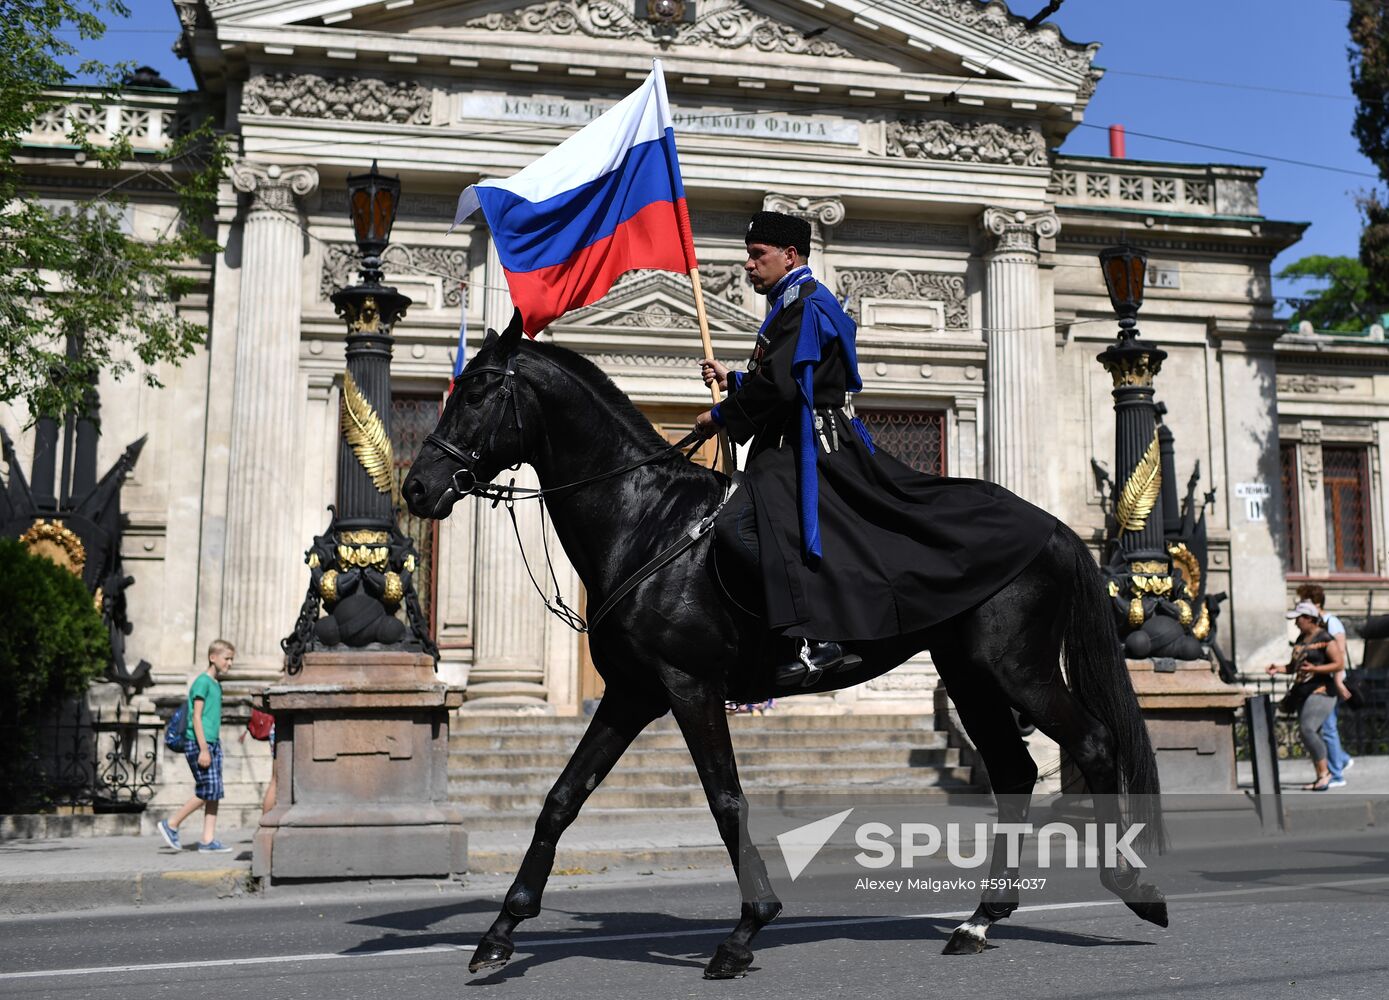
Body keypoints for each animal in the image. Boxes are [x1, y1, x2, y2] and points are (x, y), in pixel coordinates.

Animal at [405, 318, 1172, 977]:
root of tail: (1049, 523)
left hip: (1017, 669)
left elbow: (726, 800)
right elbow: (562, 798)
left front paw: (746, 929)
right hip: (971, 673)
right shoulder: (632, 693)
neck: (648, 523)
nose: (416, 487)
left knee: (1094, 741)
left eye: (478, 390)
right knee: (1013, 771)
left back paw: (1131, 883)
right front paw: (500, 932)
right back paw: (980, 919)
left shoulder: (689, 687)